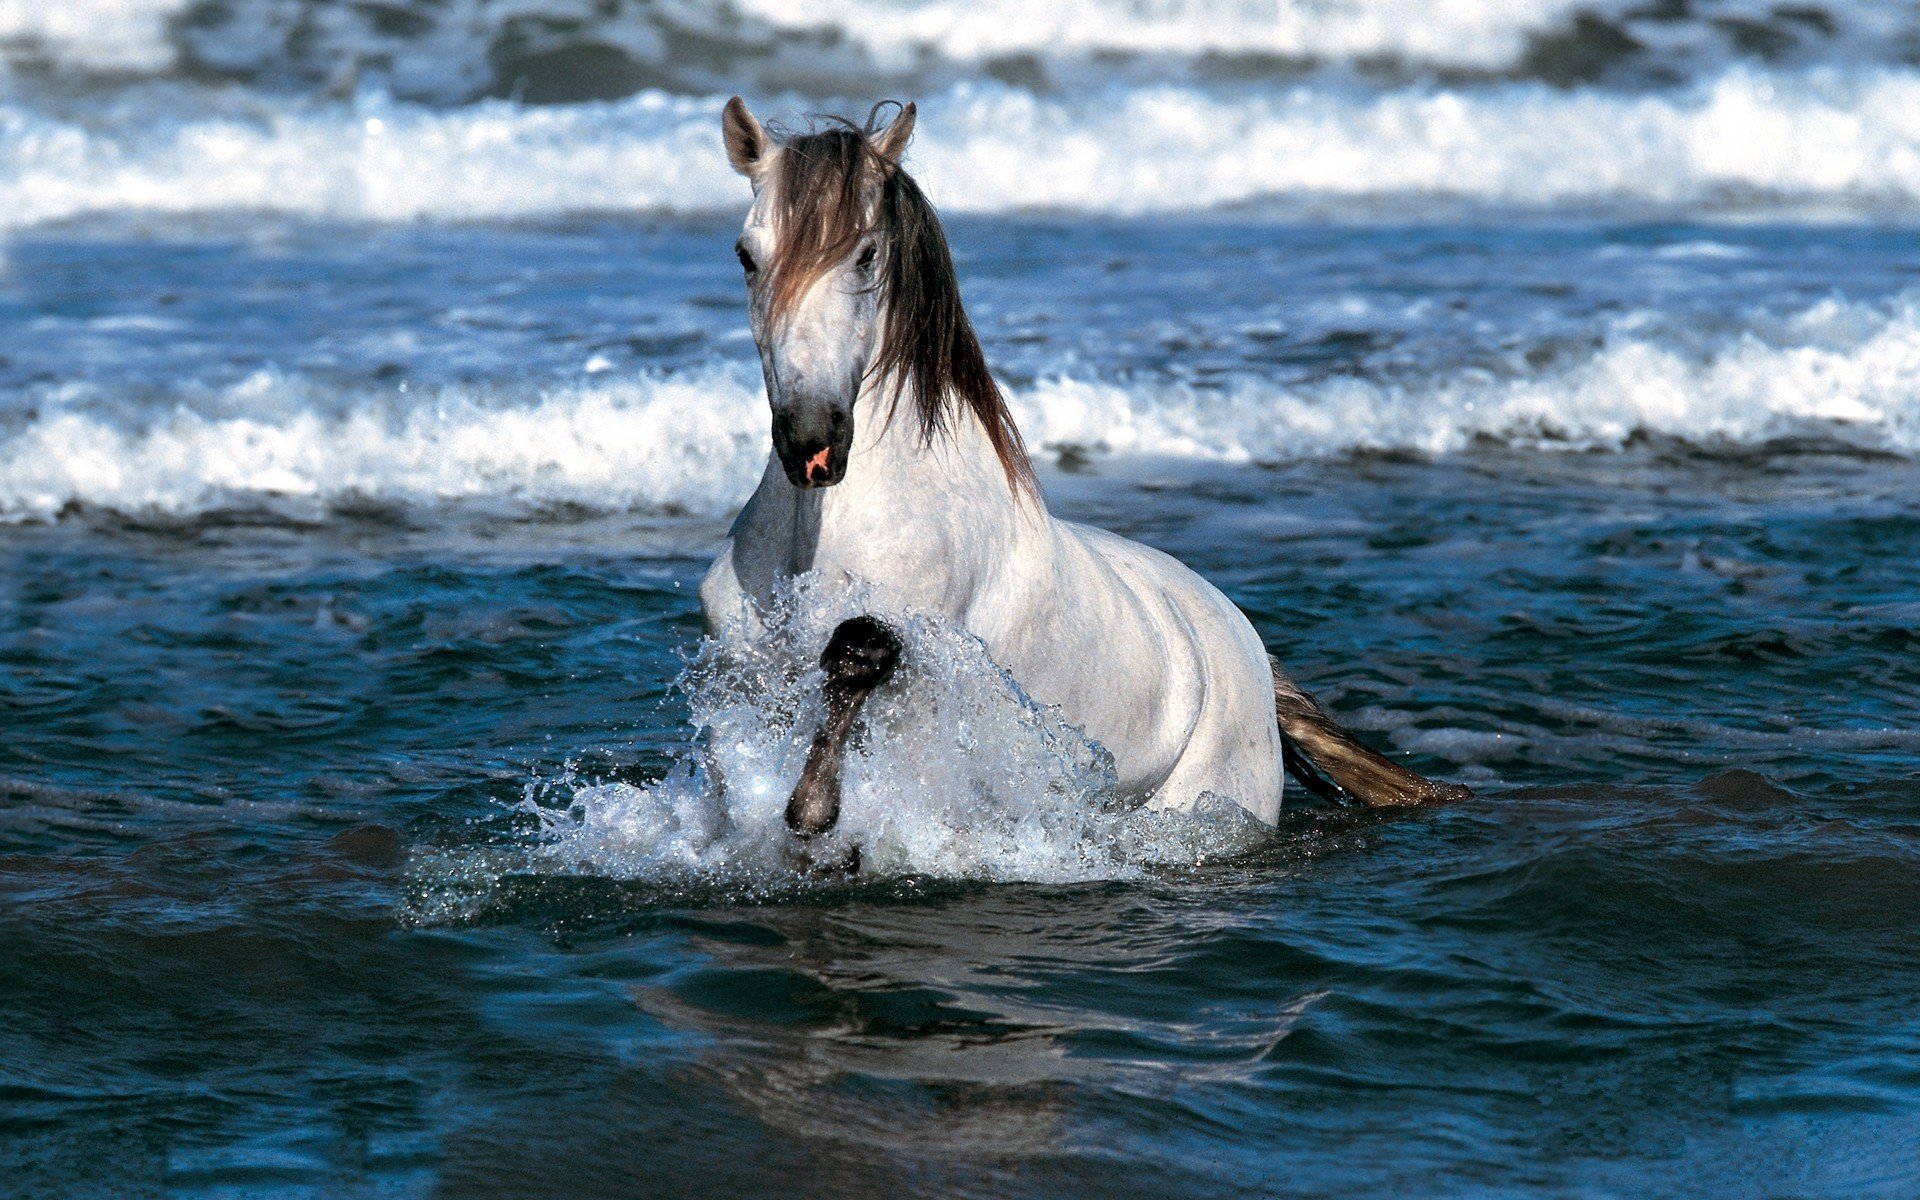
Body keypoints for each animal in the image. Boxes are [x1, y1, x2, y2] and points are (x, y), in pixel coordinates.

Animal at [700, 97, 1468, 849]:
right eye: (745, 255)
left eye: (866, 254)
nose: (812, 442)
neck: (821, 532)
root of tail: (1248, 645)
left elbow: (860, 653)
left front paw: (814, 809)